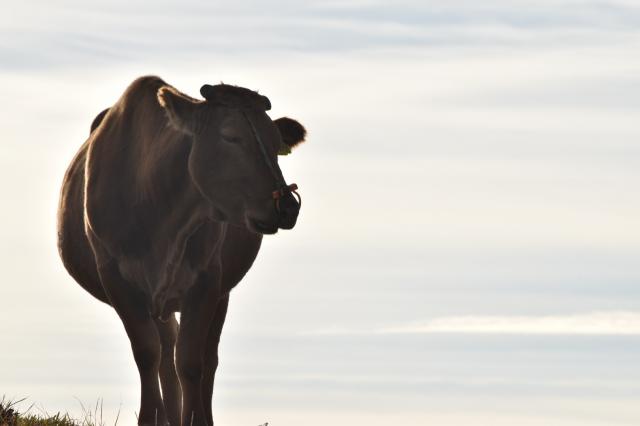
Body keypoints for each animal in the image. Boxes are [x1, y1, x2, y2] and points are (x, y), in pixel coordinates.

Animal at [57, 76, 306, 426]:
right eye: (230, 136)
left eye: (275, 144)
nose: (286, 205)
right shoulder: (116, 279)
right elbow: (147, 353)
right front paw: (150, 418)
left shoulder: (207, 280)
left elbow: (190, 361)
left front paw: (195, 420)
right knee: (164, 351)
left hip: (220, 291)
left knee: (204, 357)